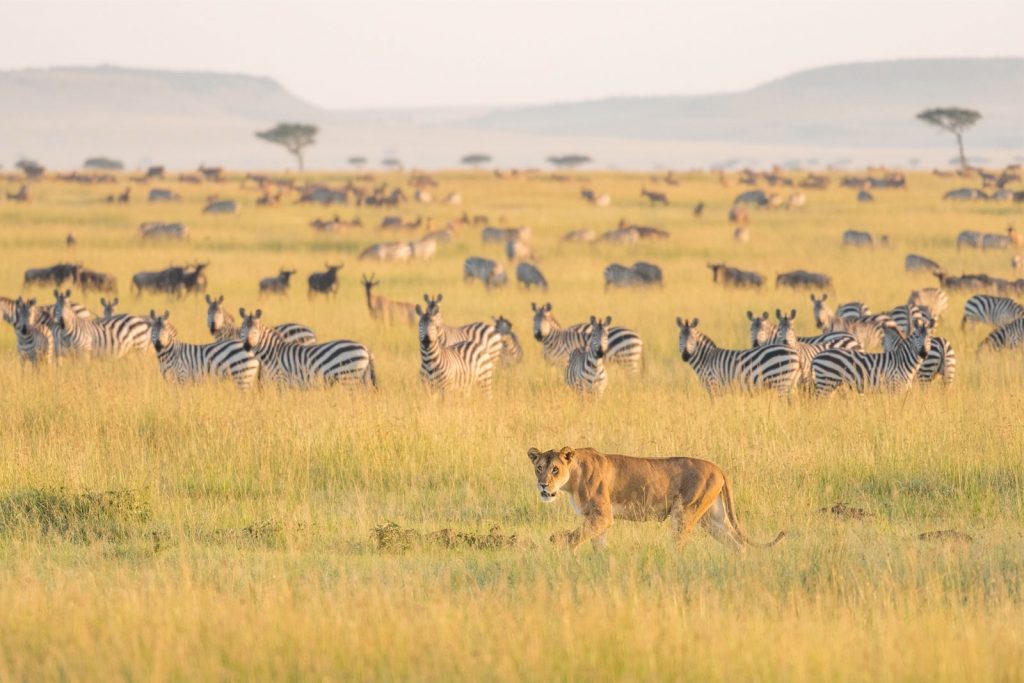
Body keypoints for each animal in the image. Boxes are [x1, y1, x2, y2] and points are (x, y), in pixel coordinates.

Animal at [236, 309, 376, 389]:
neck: (272, 353)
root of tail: (366, 349)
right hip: (362, 378)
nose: (247, 346)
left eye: (256, 330)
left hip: (349, 378)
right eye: (243, 328)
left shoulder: (282, 380)